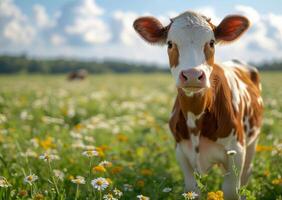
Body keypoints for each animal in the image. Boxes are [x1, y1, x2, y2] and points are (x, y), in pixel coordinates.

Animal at [133, 11, 264, 200]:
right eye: (170, 43)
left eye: (211, 42)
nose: (192, 75)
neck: (196, 119)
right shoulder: (182, 154)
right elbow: (192, 189)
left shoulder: (236, 153)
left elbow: (232, 190)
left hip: (253, 141)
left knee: (247, 173)